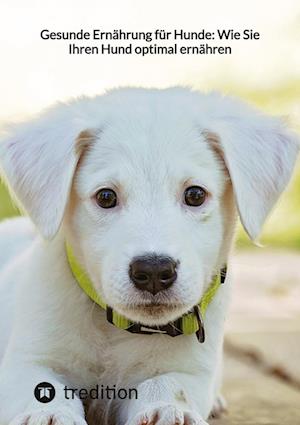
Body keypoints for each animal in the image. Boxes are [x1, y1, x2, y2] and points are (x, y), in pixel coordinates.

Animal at [0, 87, 298, 424]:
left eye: (195, 194)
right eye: (106, 196)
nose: (154, 272)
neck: (117, 329)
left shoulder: (191, 372)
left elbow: (167, 383)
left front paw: (168, 409)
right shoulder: (29, 359)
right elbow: (43, 387)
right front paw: (48, 415)